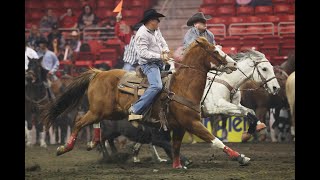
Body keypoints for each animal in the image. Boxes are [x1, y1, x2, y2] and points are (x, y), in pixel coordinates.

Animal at [41, 37, 251, 169]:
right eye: (216, 51)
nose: (234, 64)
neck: (182, 86)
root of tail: (98, 73)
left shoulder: (180, 126)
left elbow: (175, 146)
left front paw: (177, 165)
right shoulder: (192, 122)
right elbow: (214, 140)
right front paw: (241, 157)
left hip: (110, 112)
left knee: (94, 125)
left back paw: (93, 142)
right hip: (98, 110)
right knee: (78, 122)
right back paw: (65, 147)